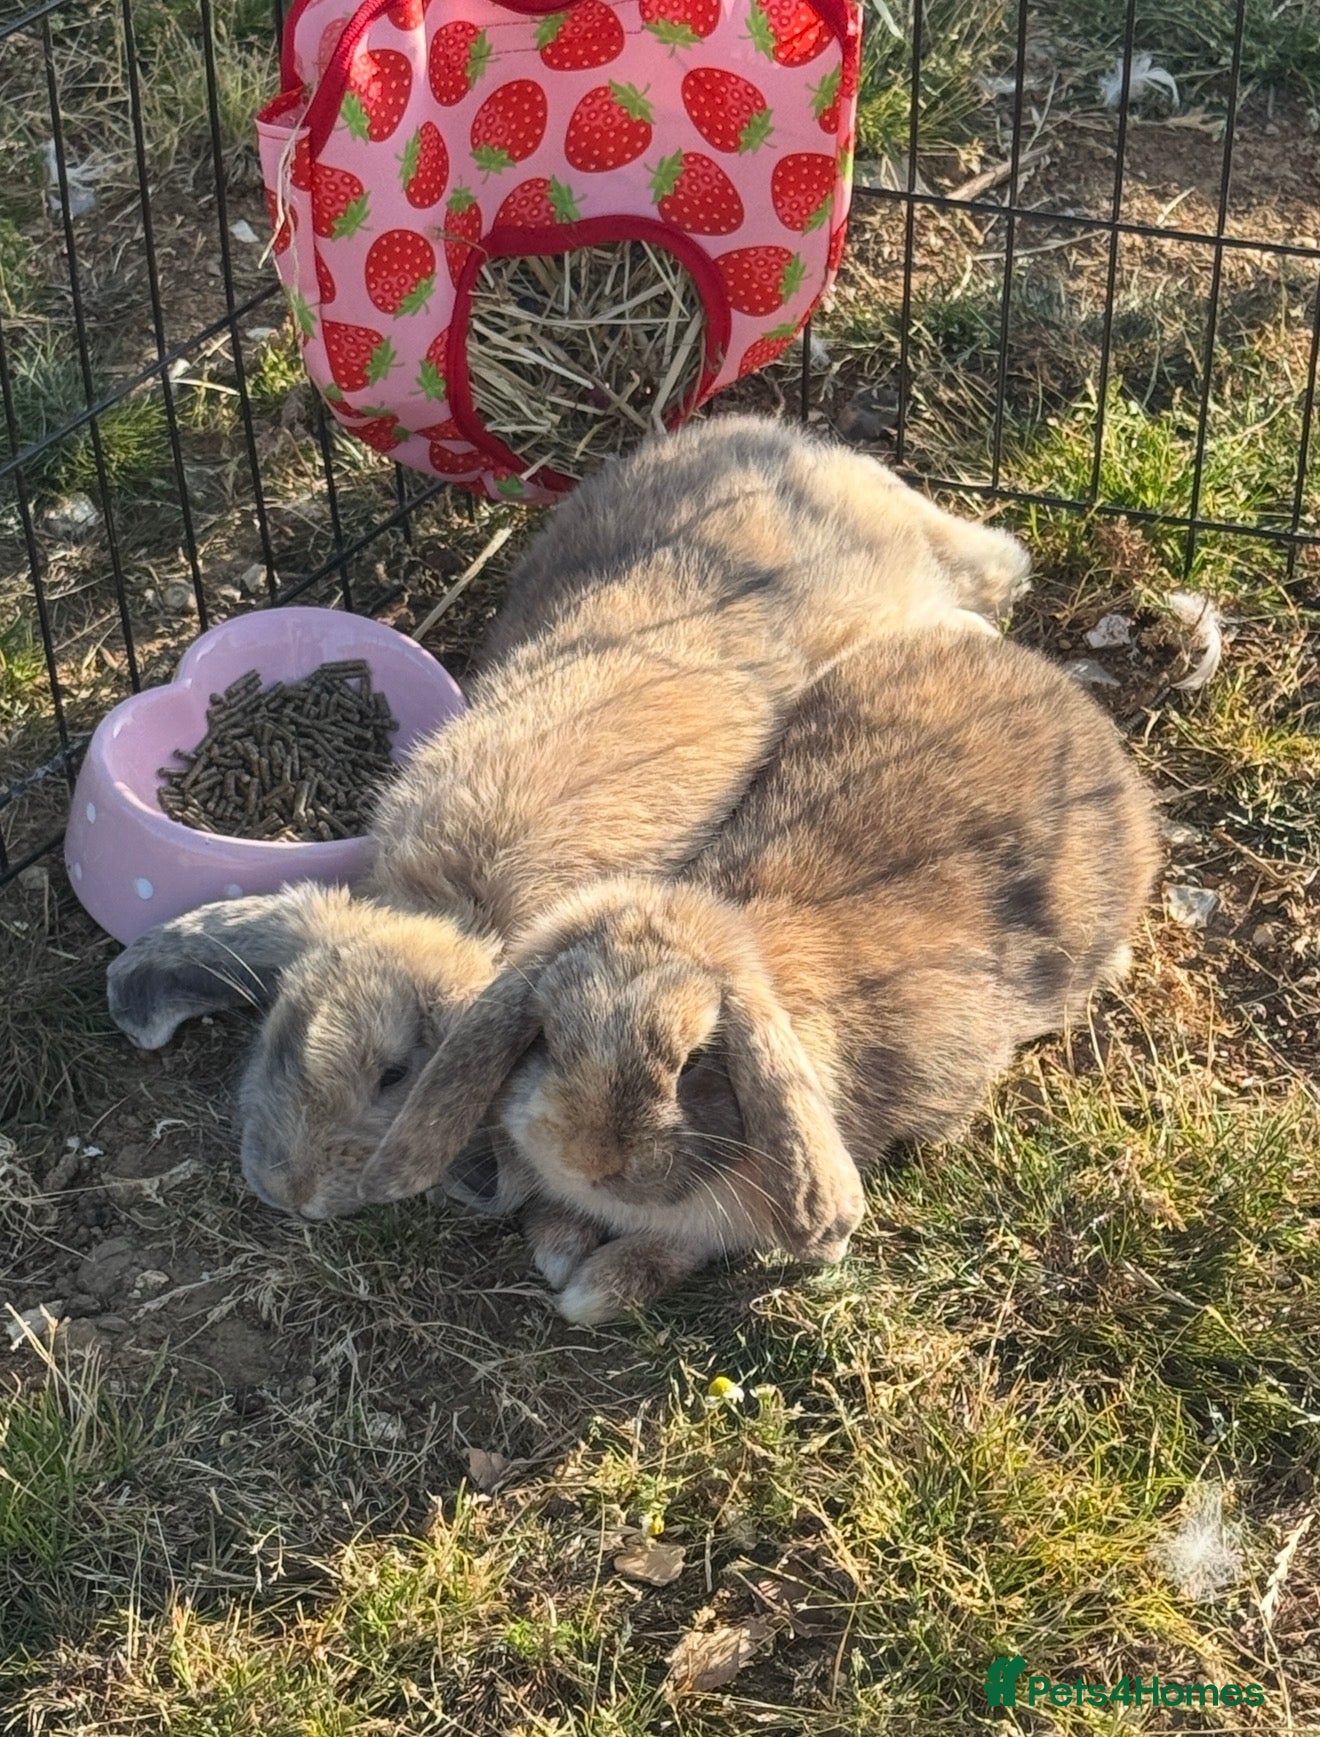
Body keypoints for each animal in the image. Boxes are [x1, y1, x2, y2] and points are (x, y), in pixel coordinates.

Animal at [358, 628, 1160, 1324]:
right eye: (548, 1037)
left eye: (693, 1063)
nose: (594, 1161)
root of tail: (1067, 700)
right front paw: (558, 1245)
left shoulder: (713, 1228)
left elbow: (668, 1250)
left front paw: (594, 1289)